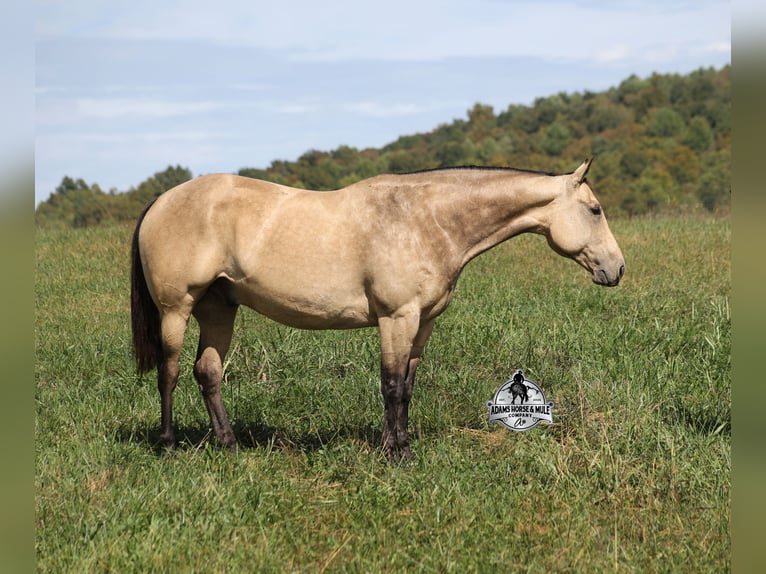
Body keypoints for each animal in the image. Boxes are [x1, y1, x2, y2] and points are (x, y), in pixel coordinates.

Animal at [131, 158, 624, 460]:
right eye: (595, 210)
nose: (616, 269)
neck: (424, 219)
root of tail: (162, 200)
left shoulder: (423, 324)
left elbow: (406, 387)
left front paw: (399, 444)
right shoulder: (396, 318)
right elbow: (390, 385)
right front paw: (396, 454)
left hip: (219, 310)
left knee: (208, 373)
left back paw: (229, 444)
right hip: (176, 309)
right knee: (170, 373)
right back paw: (168, 445)